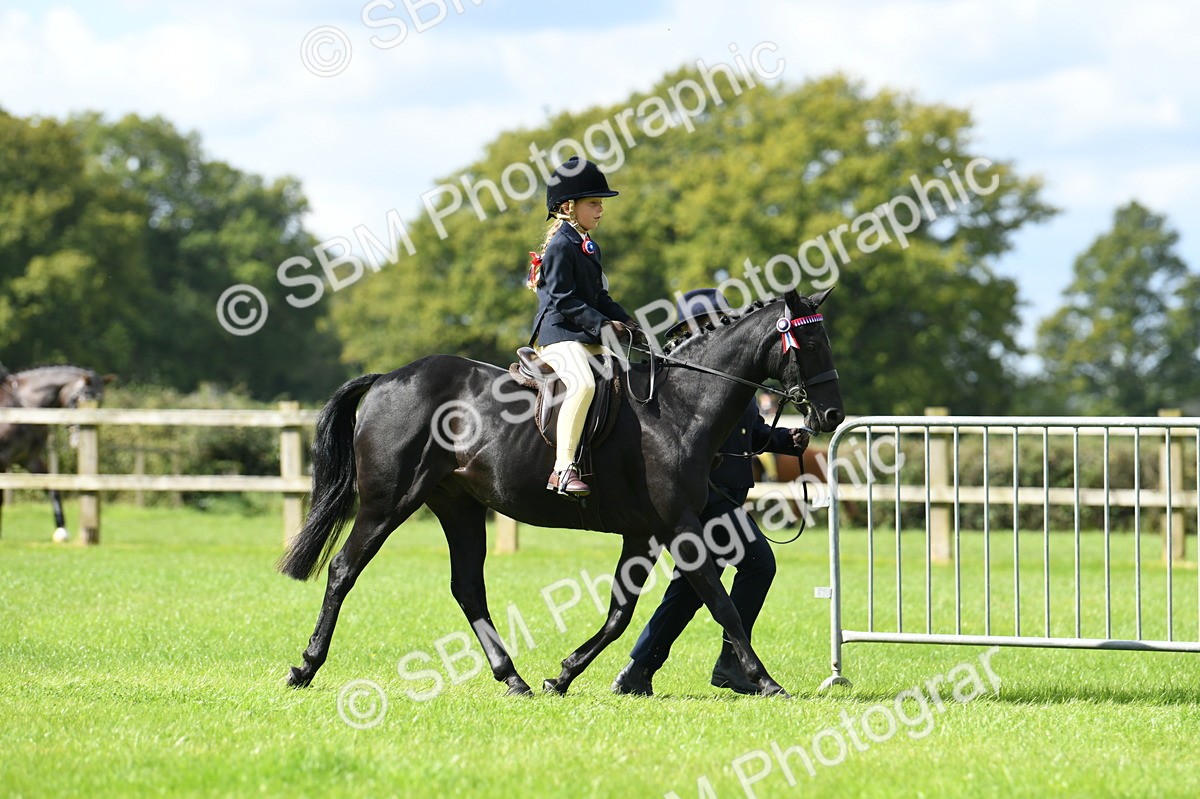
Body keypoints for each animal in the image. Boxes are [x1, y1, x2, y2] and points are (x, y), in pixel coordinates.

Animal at [0, 365, 112, 541]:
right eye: (80, 397)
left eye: (100, 402)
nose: (78, 439)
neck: (22, 406)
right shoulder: (3, 459)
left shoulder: (29, 459)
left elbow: (52, 488)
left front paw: (62, 529)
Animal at [279, 287, 844, 698]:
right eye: (811, 344)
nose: (832, 415)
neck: (680, 408)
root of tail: (386, 379)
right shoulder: (681, 530)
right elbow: (722, 606)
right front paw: (766, 680)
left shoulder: (645, 535)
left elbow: (620, 614)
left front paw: (564, 674)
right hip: (387, 504)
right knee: (343, 571)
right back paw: (305, 667)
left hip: (459, 507)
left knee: (468, 589)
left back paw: (514, 678)